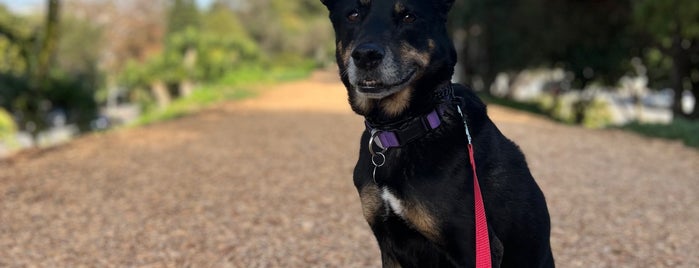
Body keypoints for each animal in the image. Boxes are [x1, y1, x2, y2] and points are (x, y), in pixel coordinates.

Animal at [320, 1, 556, 266]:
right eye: (353, 14)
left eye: (409, 16)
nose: (366, 56)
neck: (404, 128)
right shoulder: (388, 245)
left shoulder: (474, 245)